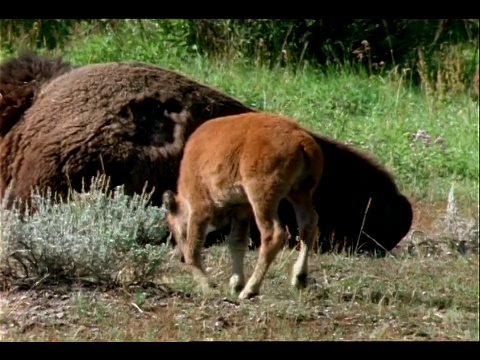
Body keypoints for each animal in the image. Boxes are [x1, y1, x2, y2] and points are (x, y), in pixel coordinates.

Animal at [163, 113, 324, 300]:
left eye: (173, 227)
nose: (179, 256)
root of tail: (300, 138)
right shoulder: (242, 209)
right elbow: (237, 242)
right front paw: (235, 284)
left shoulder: (200, 208)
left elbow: (193, 249)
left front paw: (208, 286)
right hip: (299, 193)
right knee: (308, 225)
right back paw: (298, 279)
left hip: (262, 198)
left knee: (273, 234)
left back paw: (250, 290)